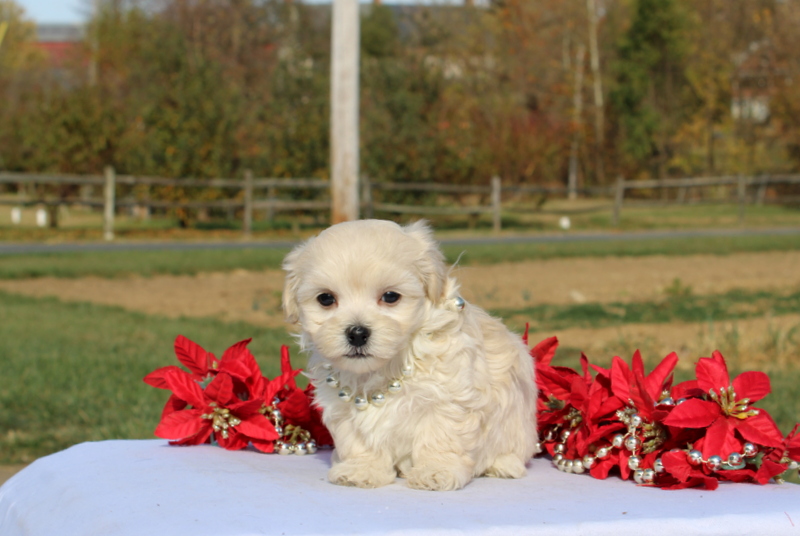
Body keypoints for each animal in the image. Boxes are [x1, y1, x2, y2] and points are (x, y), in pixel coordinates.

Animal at [282, 219, 536, 490]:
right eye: (326, 299)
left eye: (390, 296)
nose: (357, 333)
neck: (388, 366)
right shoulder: (343, 409)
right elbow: (359, 441)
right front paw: (362, 470)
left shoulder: (448, 399)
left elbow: (440, 438)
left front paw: (436, 471)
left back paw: (503, 465)